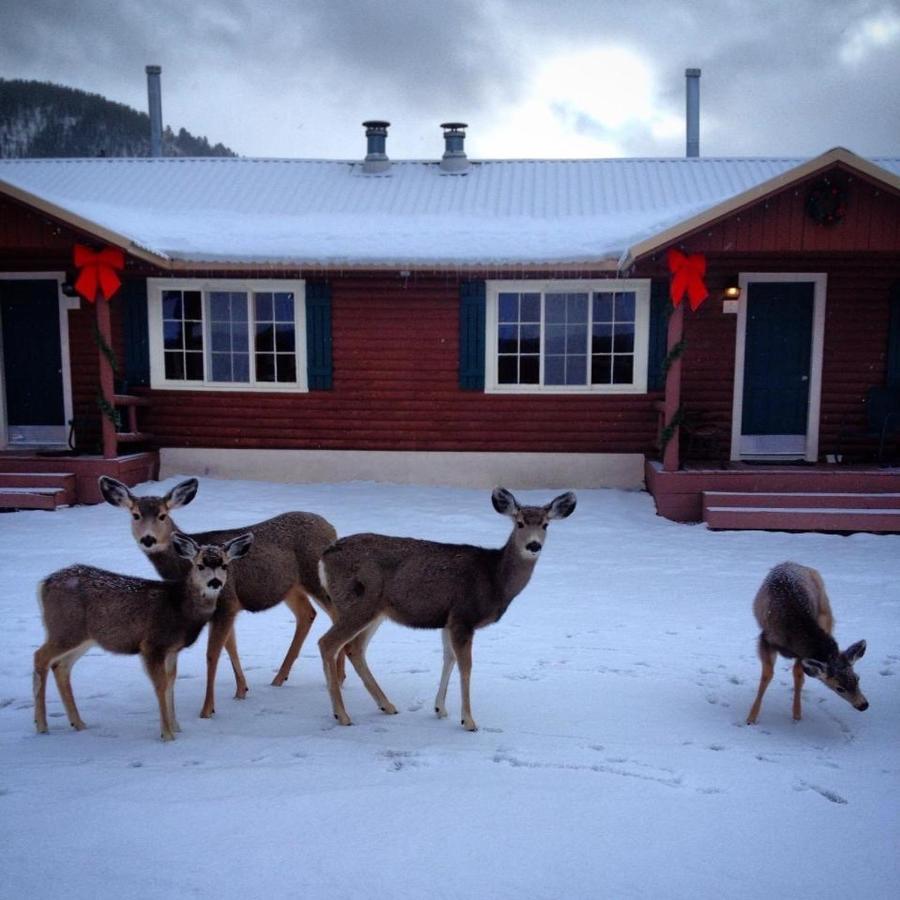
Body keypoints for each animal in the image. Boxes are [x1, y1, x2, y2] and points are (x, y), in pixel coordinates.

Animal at [34, 532, 253, 740]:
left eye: (224, 565)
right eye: (200, 565)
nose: (215, 582)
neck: (180, 609)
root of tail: (43, 584)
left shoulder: (172, 649)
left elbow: (170, 683)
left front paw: (176, 727)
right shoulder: (152, 644)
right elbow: (160, 685)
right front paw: (167, 734)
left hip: (83, 637)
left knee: (60, 666)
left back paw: (78, 723)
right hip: (65, 628)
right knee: (40, 657)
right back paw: (41, 725)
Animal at [97, 478, 338, 716]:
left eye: (162, 515)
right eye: (135, 514)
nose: (148, 539)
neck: (183, 569)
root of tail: (331, 528)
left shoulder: (227, 601)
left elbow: (213, 654)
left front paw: (207, 710)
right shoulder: (225, 608)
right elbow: (231, 646)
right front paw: (241, 690)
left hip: (315, 579)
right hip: (291, 587)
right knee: (307, 613)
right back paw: (279, 678)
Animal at [314, 486, 576, 732]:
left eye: (545, 524)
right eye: (519, 522)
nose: (533, 545)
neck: (494, 579)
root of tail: (324, 556)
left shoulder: (448, 619)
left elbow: (448, 658)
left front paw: (440, 708)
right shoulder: (464, 615)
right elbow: (466, 666)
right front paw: (468, 720)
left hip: (375, 610)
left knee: (355, 648)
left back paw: (386, 705)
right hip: (357, 602)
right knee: (328, 643)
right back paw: (342, 715)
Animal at [744, 560, 864, 728]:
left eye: (857, 678)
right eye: (839, 688)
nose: (863, 705)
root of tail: (791, 562)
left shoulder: (803, 654)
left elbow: (798, 675)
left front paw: (797, 715)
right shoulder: (766, 640)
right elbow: (767, 676)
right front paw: (751, 718)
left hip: (825, 610)